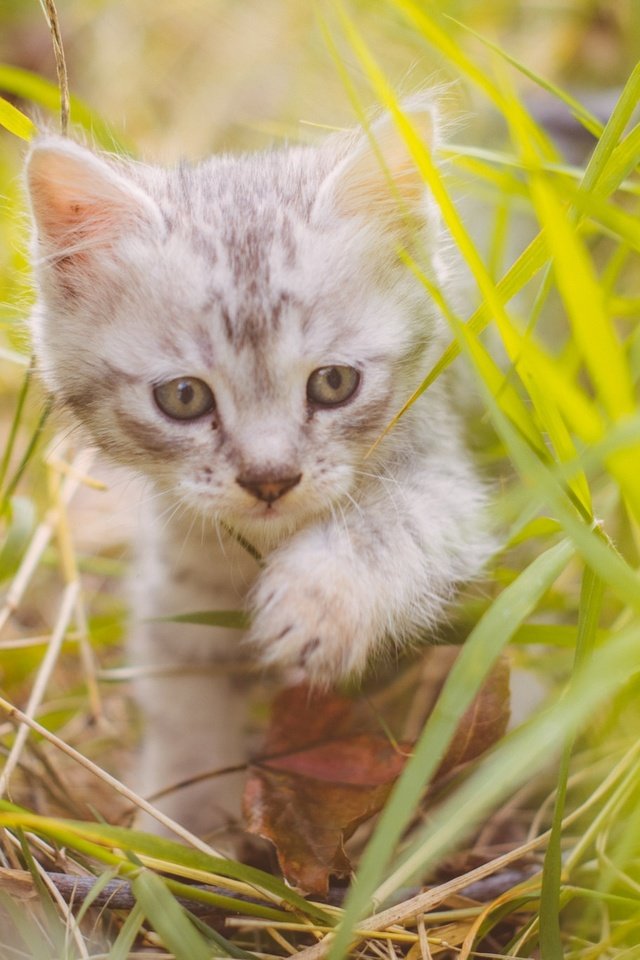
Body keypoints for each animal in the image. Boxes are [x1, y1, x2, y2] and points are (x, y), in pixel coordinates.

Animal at [26, 99, 490, 840]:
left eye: (333, 383)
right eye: (184, 397)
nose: (270, 478)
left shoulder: (448, 480)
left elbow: (393, 524)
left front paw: (320, 602)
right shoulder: (178, 578)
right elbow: (184, 696)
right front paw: (183, 827)